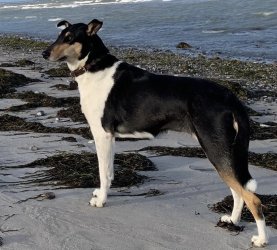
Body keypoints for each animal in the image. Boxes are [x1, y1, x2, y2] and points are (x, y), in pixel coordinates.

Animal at [42, 19, 268, 246]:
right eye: (59, 35)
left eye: (69, 38)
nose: (44, 53)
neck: (94, 67)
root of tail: (230, 97)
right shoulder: (110, 138)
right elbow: (110, 171)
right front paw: (101, 195)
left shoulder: (102, 134)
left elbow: (103, 173)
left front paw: (101, 201)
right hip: (224, 151)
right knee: (238, 191)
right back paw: (232, 220)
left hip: (215, 148)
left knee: (252, 197)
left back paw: (261, 239)